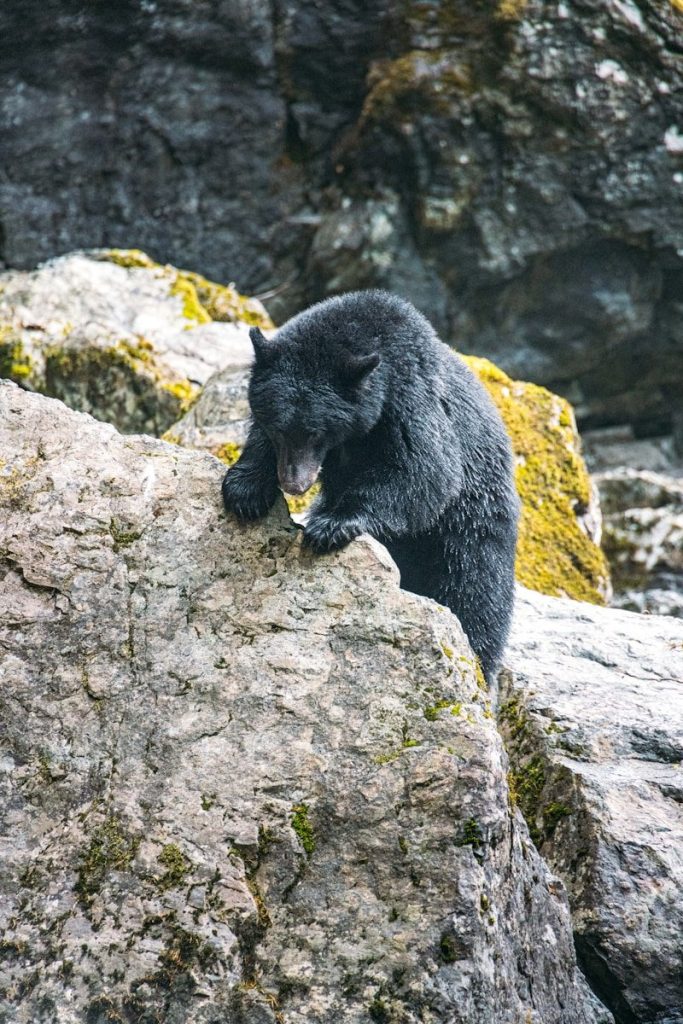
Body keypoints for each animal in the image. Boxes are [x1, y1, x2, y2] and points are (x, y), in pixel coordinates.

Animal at [222, 290, 520, 682]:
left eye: (315, 432)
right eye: (279, 426)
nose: (295, 483)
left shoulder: (411, 397)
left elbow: (425, 472)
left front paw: (331, 526)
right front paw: (245, 490)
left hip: (474, 522)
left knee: (475, 592)